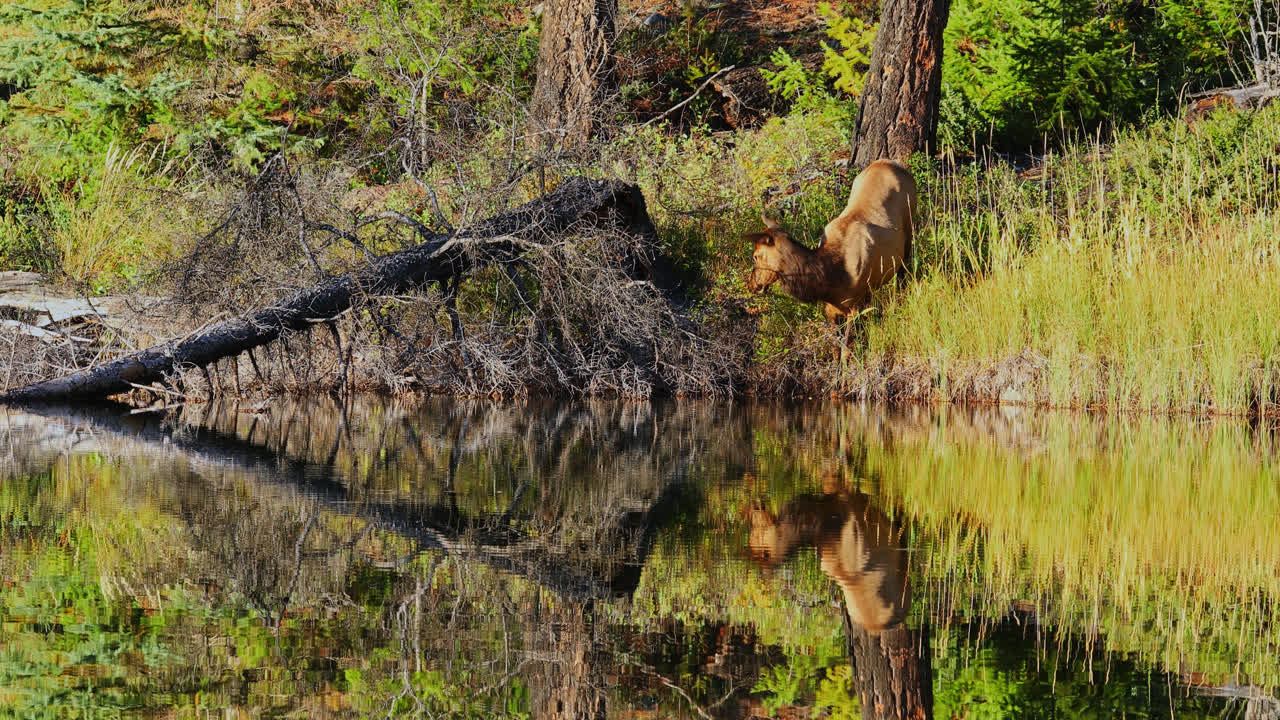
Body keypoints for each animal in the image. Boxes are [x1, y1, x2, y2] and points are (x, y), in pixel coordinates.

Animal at [745, 159, 917, 349]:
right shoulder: (830, 308)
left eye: (755, 256)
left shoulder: (855, 306)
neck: (830, 279)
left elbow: (846, 349)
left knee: (903, 272)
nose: (751, 284)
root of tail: (891, 163)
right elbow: (836, 346)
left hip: (910, 229)